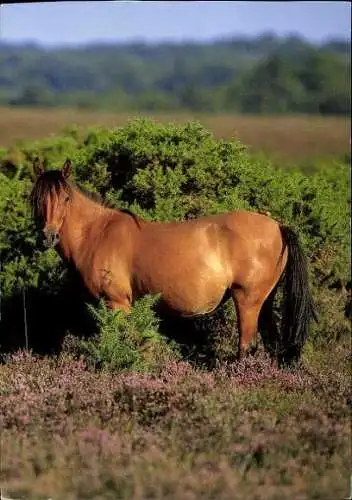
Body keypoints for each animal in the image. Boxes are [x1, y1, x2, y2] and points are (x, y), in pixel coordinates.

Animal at [29, 158, 316, 366]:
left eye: (66, 198)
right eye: (36, 199)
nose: (48, 236)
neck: (97, 233)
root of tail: (278, 226)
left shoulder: (117, 304)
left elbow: (122, 341)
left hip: (248, 301)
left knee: (246, 345)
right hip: (264, 302)